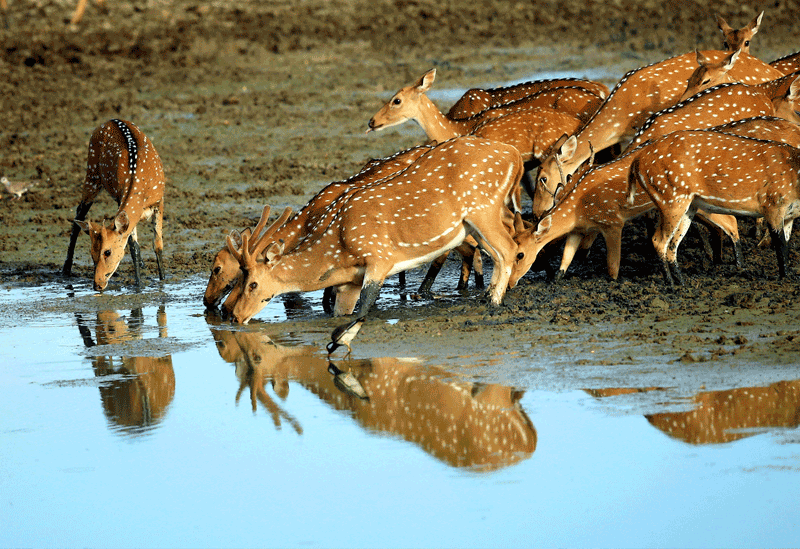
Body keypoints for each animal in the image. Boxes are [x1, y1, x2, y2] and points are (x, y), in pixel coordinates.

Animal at [63, 119, 167, 292]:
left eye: (107, 252)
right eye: (91, 253)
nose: (97, 284)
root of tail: (108, 121)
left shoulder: (160, 202)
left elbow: (157, 244)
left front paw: (163, 280)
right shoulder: (121, 199)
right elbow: (134, 248)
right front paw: (139, 285)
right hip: (92, 174)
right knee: (79, 213)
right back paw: (65, 269)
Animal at [225, 136, 524, 352]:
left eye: (252, 283)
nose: (235, 317)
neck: (338, 251)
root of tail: (514, 155)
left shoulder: (379, 257)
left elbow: (365, 307)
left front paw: (341, 341)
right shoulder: (348, 283)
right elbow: (340, 313)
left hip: (483, 209)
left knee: (509, 249)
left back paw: (493, 303)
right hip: (475, 222)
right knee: (499, 253)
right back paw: (486, 297)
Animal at [628, 128, 800, 282]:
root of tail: (636, 162)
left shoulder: (789, 215)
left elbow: (786, 242)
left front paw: (787, 275)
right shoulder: (773, 205)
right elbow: (780, 245)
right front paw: (784, 277)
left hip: (687, 206)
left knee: (672, 244)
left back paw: (681, 282)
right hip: (670, 198)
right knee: (658, 240)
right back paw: (670, 283)